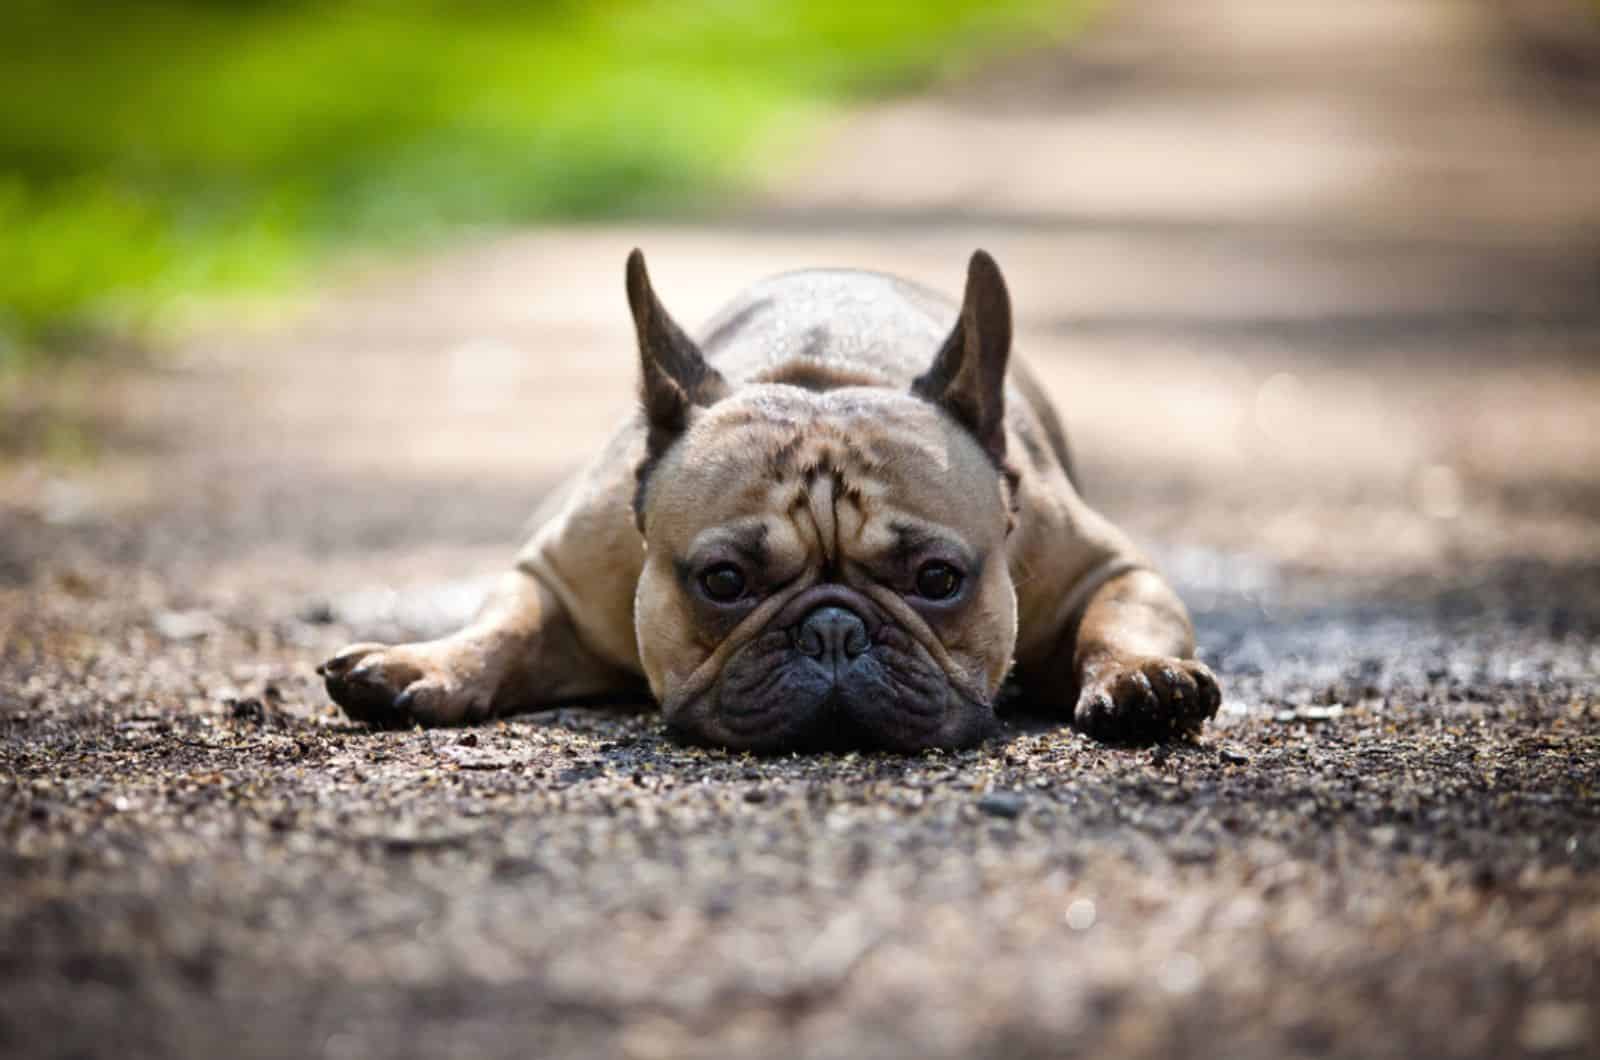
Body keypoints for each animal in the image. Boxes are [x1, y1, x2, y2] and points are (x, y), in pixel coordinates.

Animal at [318, 249, 1216, 752]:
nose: (832, 631)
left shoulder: (1106, 568)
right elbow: (504, 625)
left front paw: (1141, 679)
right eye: (723, 582)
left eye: (938, 580)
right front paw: (424, 661)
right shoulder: (562, 577)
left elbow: (1117, 619)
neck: (821, 375)